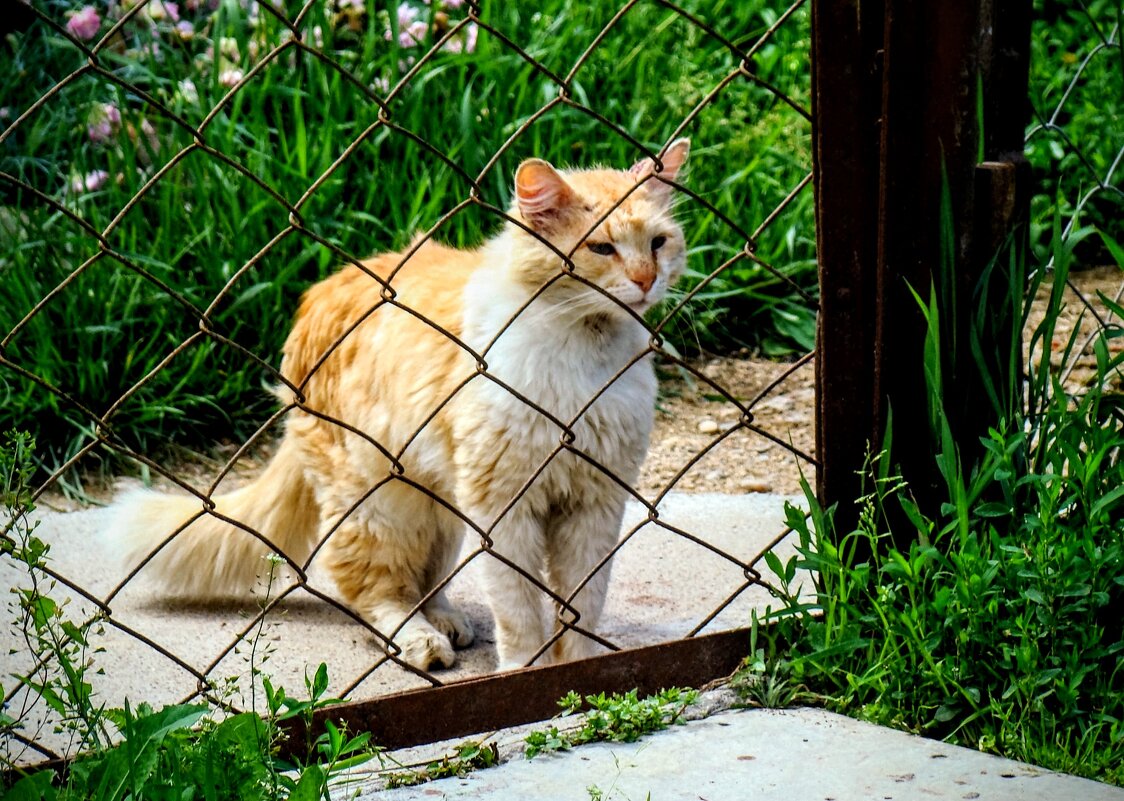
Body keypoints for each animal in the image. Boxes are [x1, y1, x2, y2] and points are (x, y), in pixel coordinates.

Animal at [111, 140, 692, 669]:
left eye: (658, 243)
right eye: (602, 249)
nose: (646, 280)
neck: (586, 354)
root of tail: (317, 297)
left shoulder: (594, 504)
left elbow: (581, 605)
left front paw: (579, 666)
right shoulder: (506, 509)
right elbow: (520, 610)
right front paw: (525, 671)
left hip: (441, 510)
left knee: (425, 582)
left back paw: (445, 621)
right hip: (377, 506)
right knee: (375, 591)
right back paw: (420, 642)